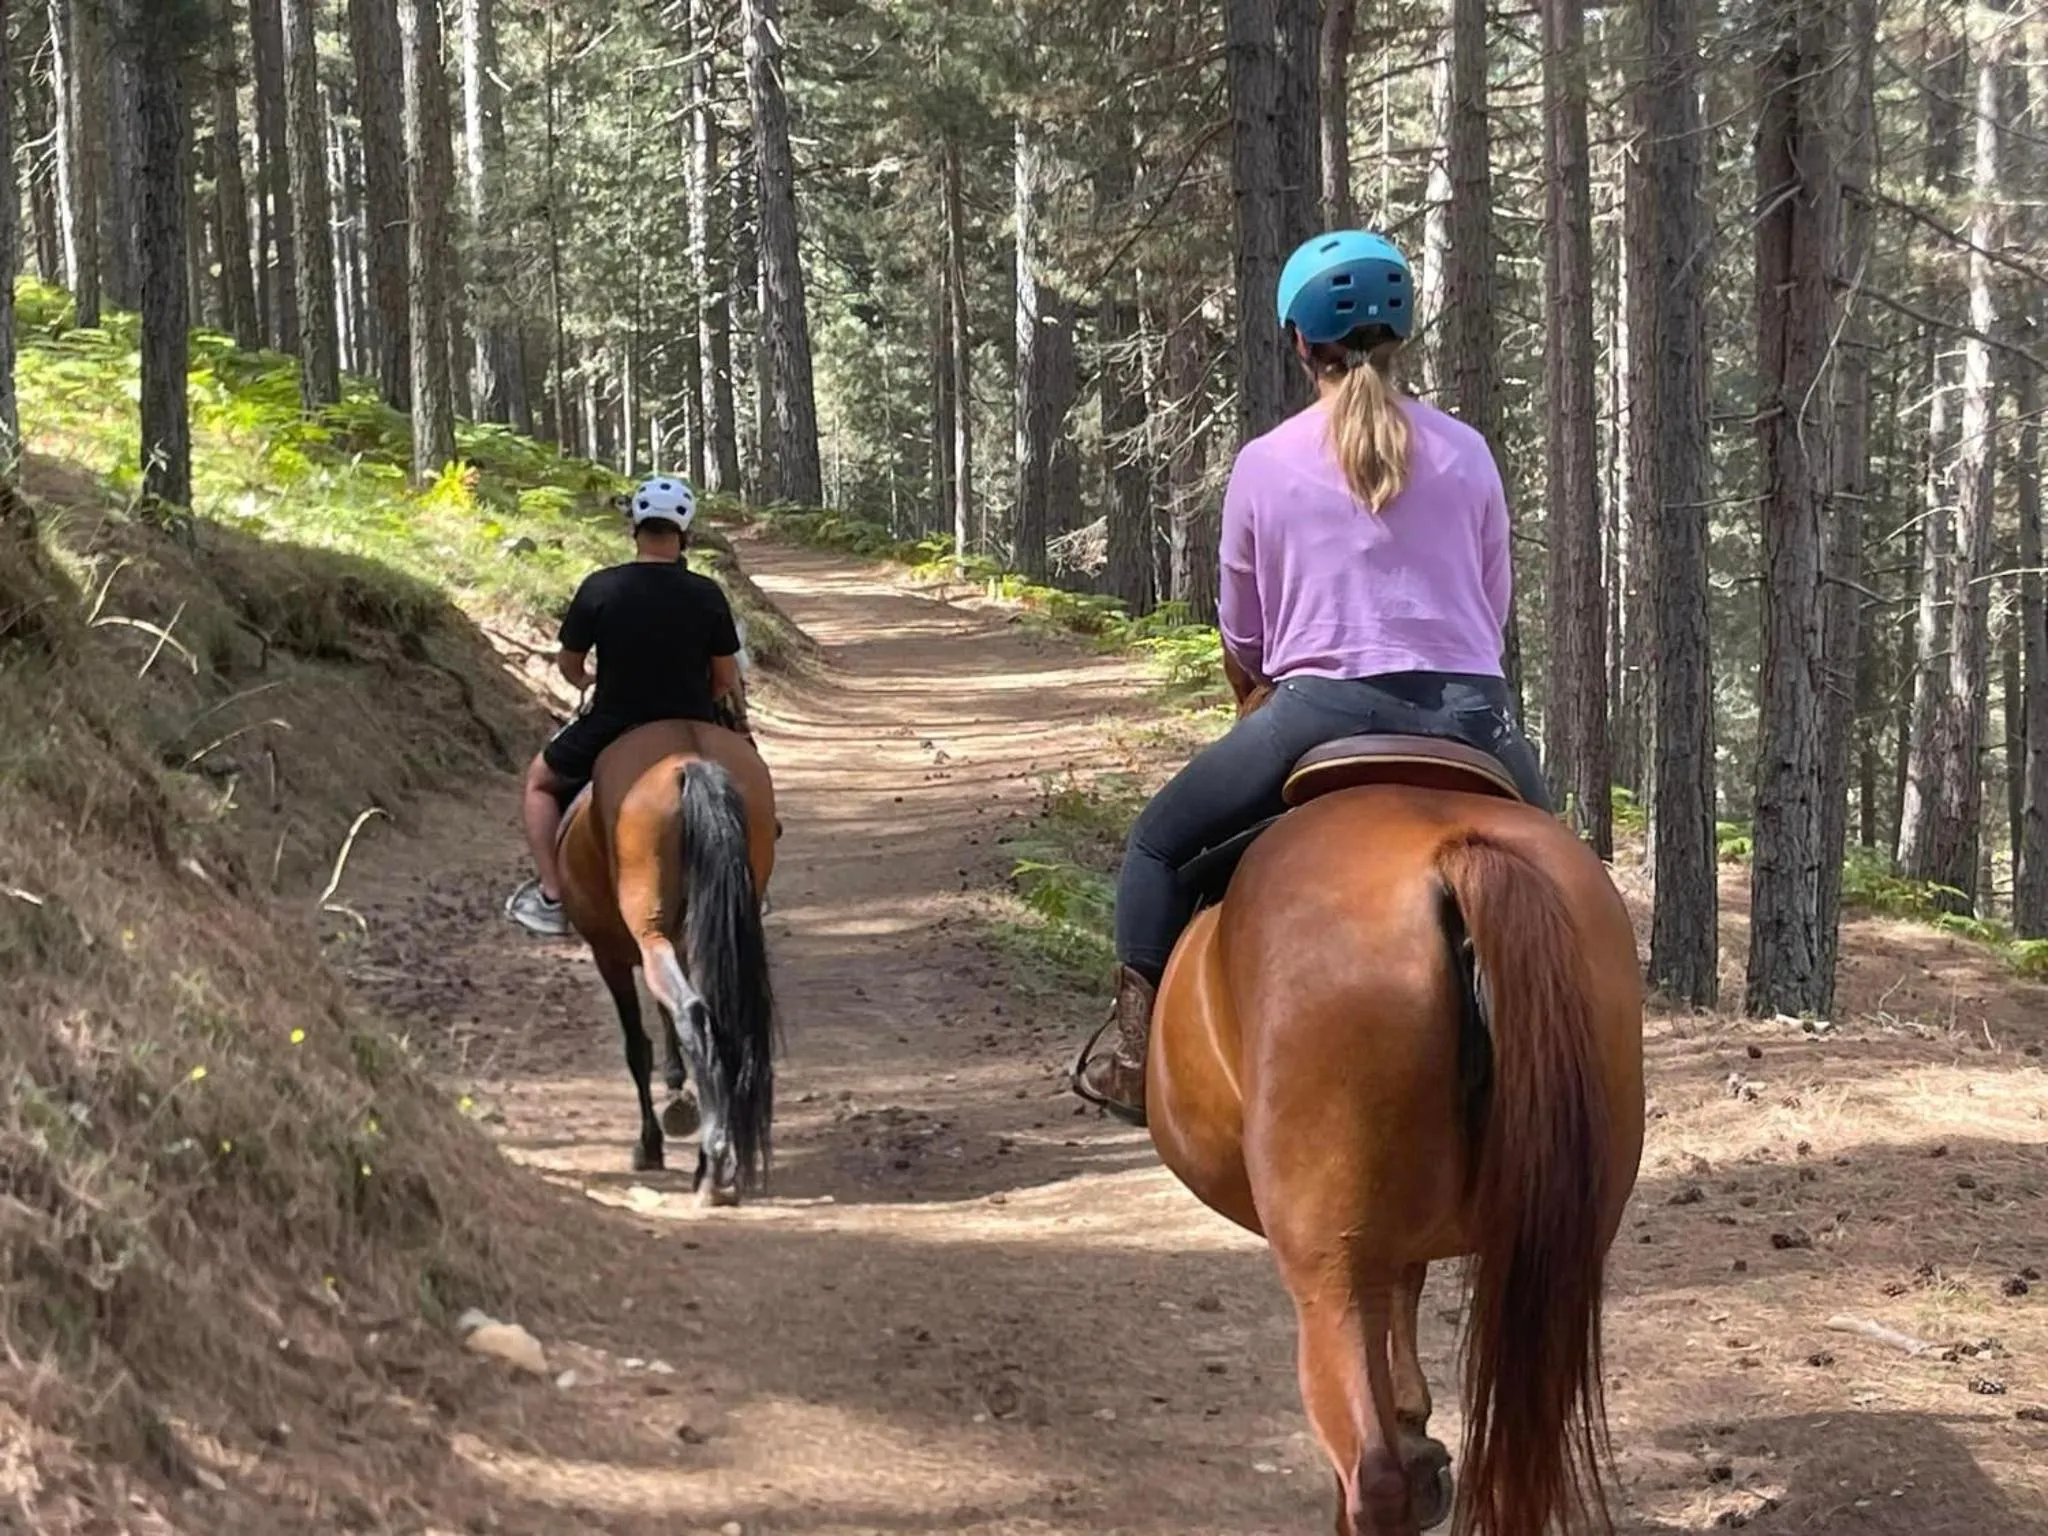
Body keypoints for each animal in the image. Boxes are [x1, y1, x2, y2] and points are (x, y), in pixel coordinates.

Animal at [555, 718, 778, 1205]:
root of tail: (689, 761)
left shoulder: (609, 954)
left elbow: (637, 1048)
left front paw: (651, 1143)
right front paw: (677, 1092)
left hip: (649, 931)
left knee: (690, 1011)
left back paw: (712, 1163)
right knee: (720, 1015)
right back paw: (719, 1162)